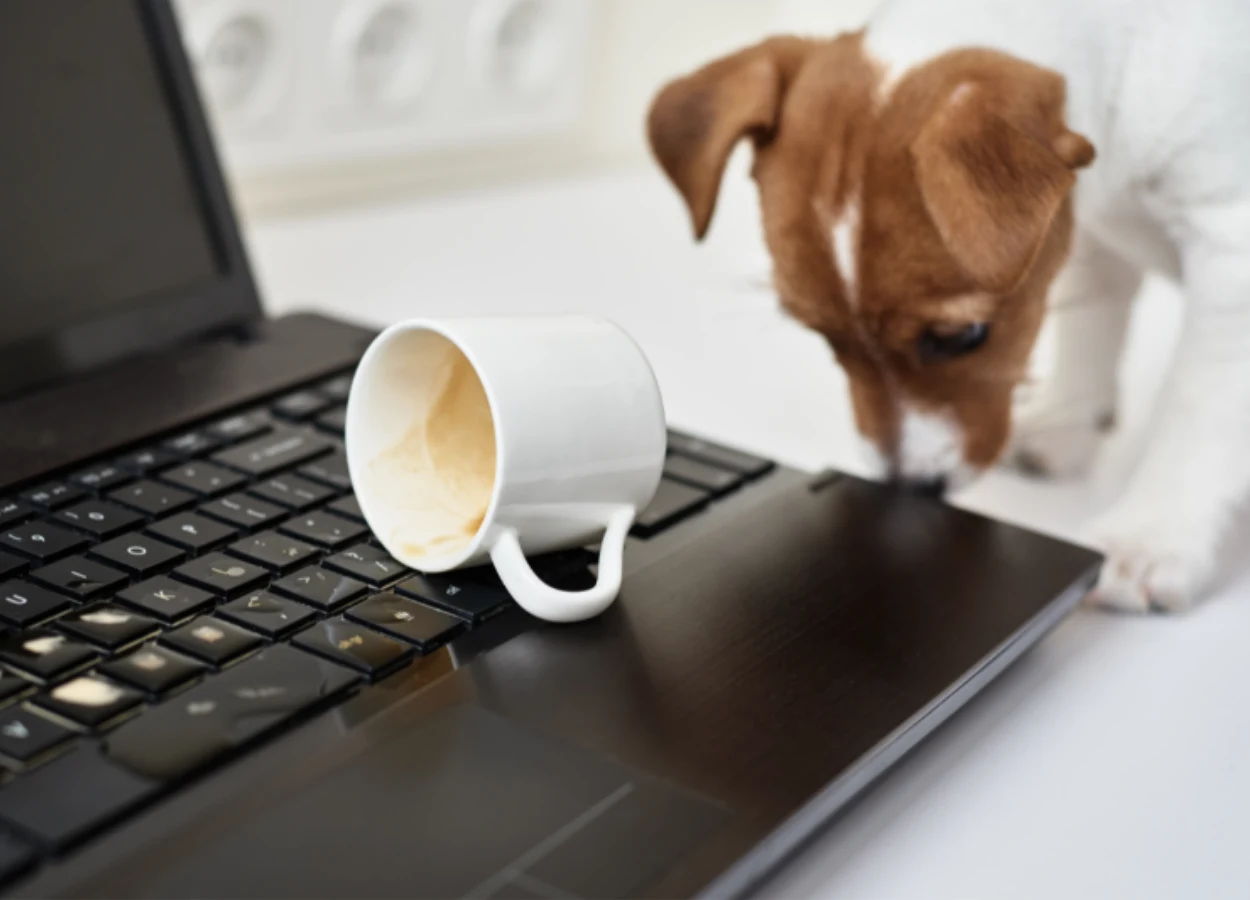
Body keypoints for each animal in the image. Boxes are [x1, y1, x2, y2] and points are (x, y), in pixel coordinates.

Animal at [645, 0, 1250, 615]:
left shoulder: (1230, 250)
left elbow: (1197, 408)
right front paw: (1067, 426)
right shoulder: (1087, 229)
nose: (910, 491)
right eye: (823, 336)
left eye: (962, 336)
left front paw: (1151, 534)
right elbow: (1092, 324)